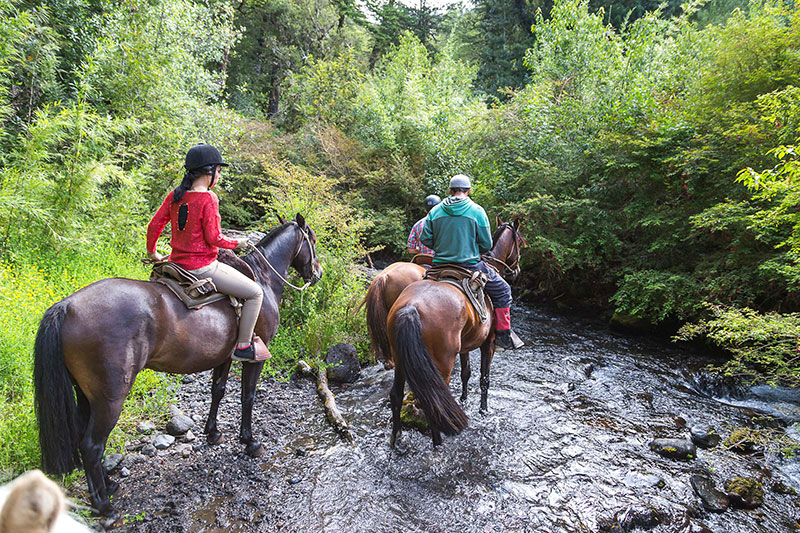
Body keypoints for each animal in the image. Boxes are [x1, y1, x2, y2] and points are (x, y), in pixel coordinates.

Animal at [33, 212, 322, 516]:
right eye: (312, 240)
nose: (318, 273)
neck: (263, 280)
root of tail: (67, 306)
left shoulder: (223, 357)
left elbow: (218, 391)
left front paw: (213, 433)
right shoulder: (255, 357)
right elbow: (248, 396)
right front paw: (249, 441)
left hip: (86, 395)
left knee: (84, 439)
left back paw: (108, 485)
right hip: (110, 398)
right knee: (92, 445)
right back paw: (104, 505)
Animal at [386, 218, 524, 446]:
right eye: (520, 243)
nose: (517, 271)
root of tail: (411, 308)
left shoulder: (465, 346)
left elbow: (466, 373)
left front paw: (464, 399)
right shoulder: (488, 344)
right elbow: (484, 379)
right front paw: (483, 410)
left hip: (401, 358)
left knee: (396, 396)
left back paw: (397, 438)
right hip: (442, 363)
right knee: (434, 401)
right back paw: (437, 443)